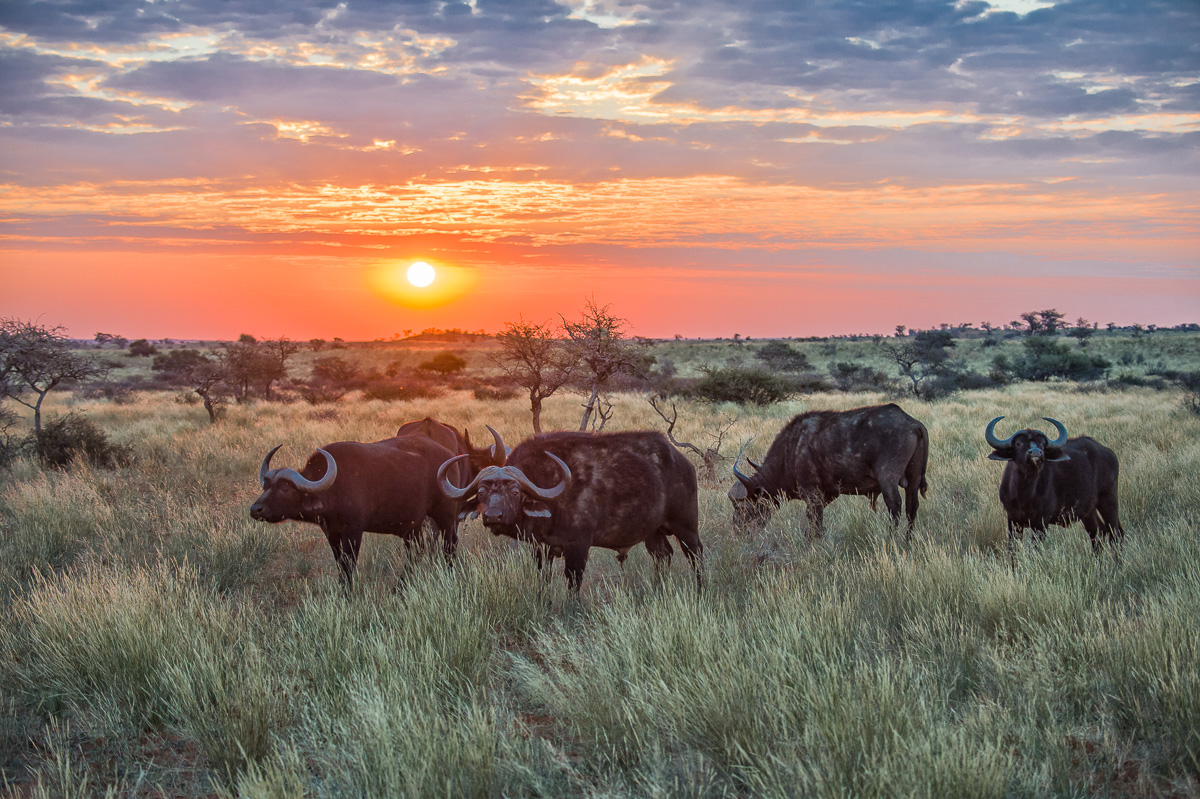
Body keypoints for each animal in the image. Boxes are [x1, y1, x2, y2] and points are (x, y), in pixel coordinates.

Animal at [250, 435, 460, 588]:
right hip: (413, 525)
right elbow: (340, 565)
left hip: (445, 516)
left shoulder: (353, 532)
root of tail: (448, 456)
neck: (334, 487)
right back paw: (401, 587)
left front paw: (348, 595)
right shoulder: (331, 533)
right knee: (416, 552)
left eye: (285, 487)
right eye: (265, 486)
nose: (255, 509)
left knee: (449, 545)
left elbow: (348, 565)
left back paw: (450, 576)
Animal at [439, 430, 703, 590]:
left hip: (686, 526)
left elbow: (574, 580)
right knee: (663, 556)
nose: (493, 516)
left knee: (696, 556)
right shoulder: (540, 548)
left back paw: (700, 590)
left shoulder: (578, 545)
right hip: (653, 532)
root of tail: (683, 462)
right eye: (482, 492)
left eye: (514, 492)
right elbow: (543, 578)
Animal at [729, 403, 929, 537]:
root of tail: (913, 423)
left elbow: (814, 519)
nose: (737, 530)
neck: (792, 449)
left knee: (895, 506)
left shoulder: (811, 493)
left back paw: (891, 538)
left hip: (888, 479)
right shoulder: (828, 494)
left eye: (743, 508)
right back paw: (908, 540)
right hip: (913, 479)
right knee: (912, 507)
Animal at [985, 416, 1123, 559]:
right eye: (1019, 443)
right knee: (1098, 532)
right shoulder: (1013, 520)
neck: (1024, 494)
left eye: (1042, 444)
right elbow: (1013, 549)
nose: (1036, 453)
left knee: (1116, 532)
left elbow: (1034, 551)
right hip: (1088, 510)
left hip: (1108, 500)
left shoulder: (1041, 524)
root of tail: (1109, 453)